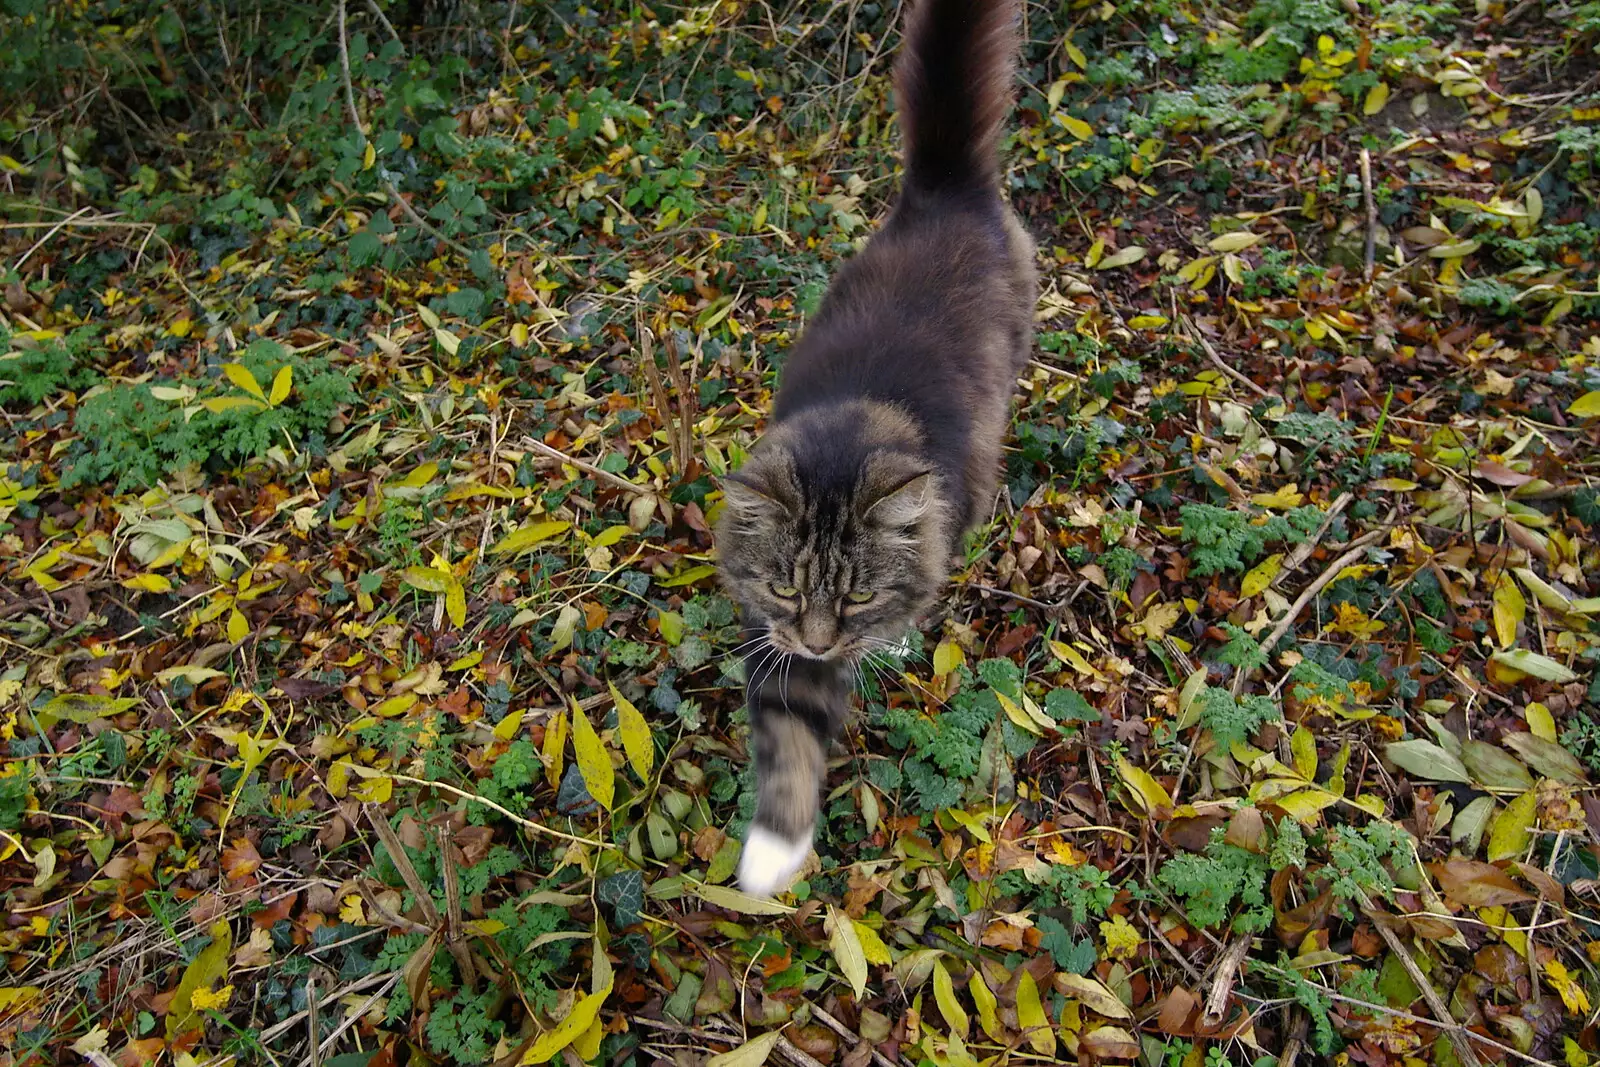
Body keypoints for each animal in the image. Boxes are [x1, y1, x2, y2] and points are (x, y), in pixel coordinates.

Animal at [716, 0, 1036, 895]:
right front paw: (769, 856)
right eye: (786, 589)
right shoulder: (774, 640)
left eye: (857, 595)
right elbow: (788, 736)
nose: (823, 639)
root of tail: (943, 185)